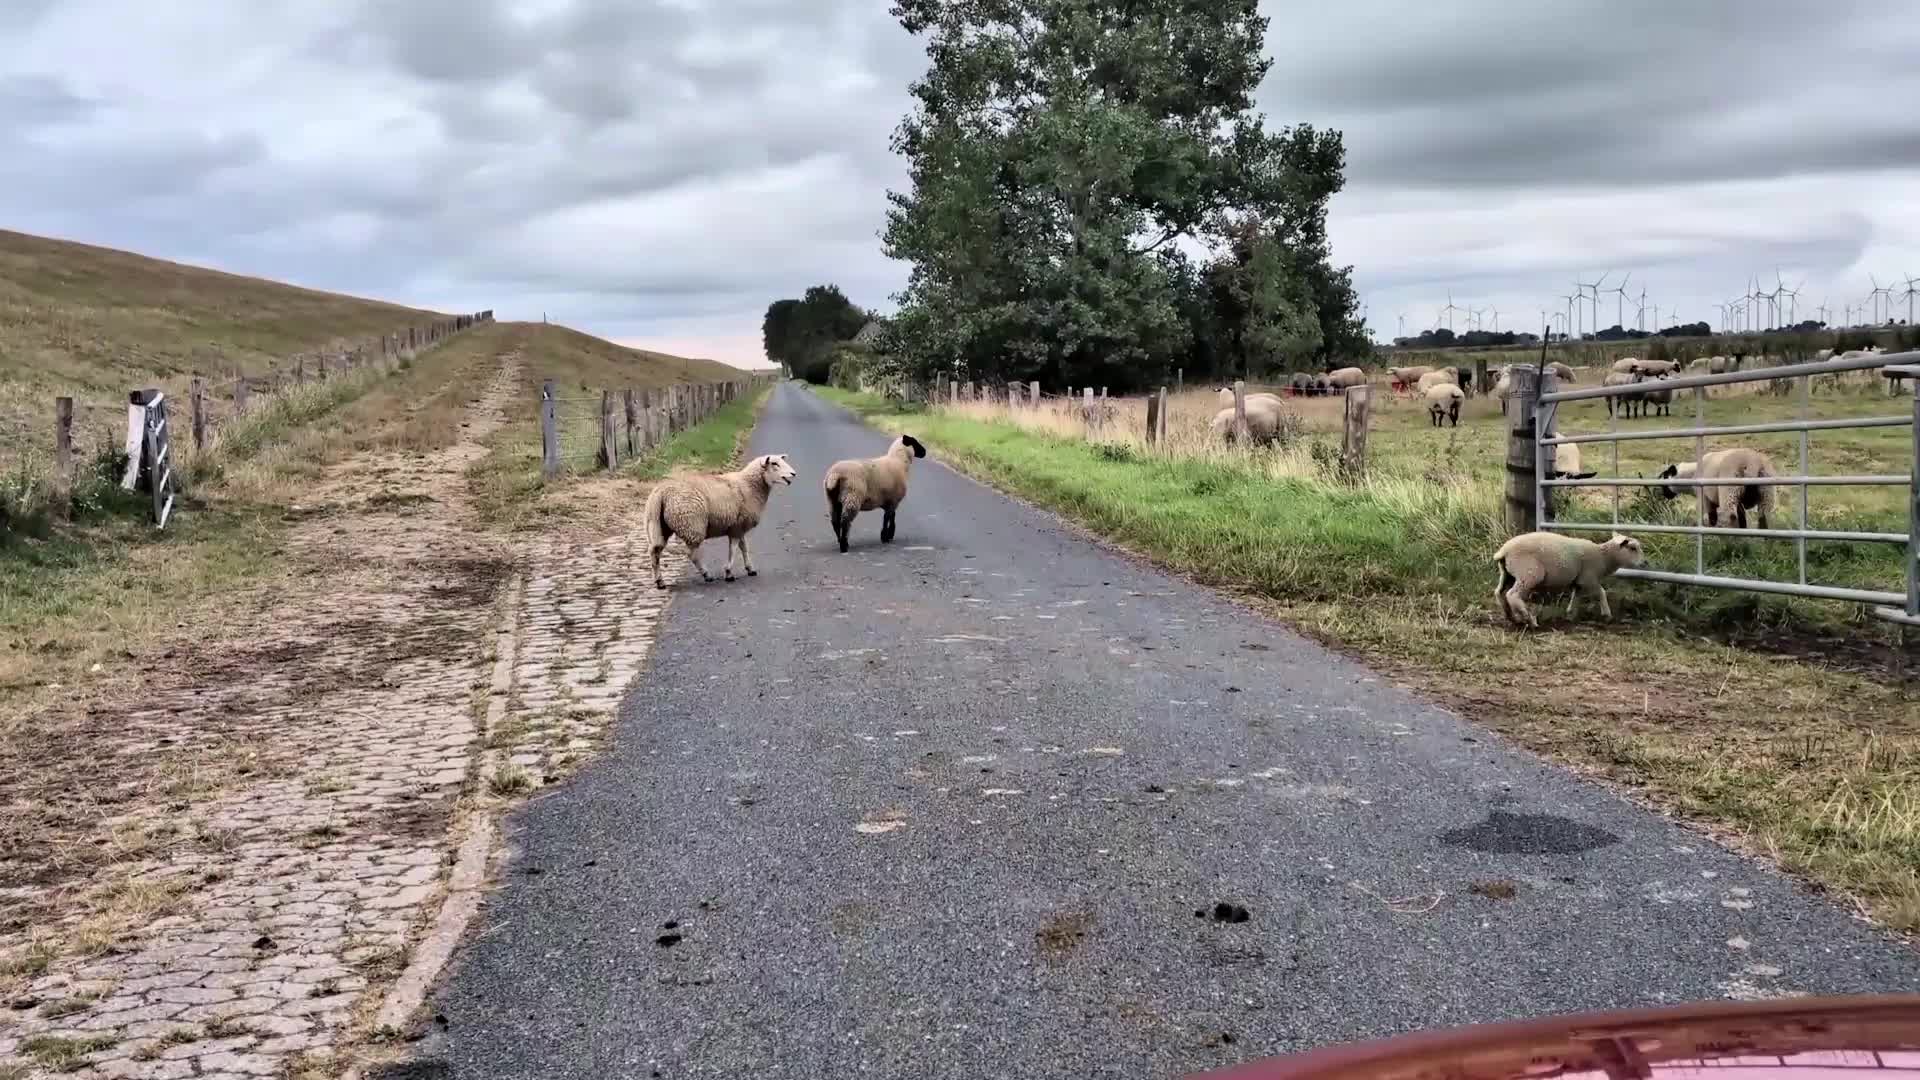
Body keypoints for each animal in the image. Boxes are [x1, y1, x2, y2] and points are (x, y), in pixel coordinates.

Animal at [644, 453, 798, 589]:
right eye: (774, 464)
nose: (794, 474)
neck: (749, 485)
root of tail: (662, 492)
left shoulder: (739, 526)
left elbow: (744, 547)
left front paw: (750, 569)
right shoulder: (736, 528)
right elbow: (733, 549)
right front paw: (729, 572)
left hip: (659, 525)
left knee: (655, 551)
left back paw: (659, 582)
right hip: (691, 524)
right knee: (692, 554)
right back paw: (706, 575)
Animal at [1492, 531, 1646, 628]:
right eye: (1632, 548)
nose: (1645, 563)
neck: (1604, 557)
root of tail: (1504, 551)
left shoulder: (1579, 581)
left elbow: (1576, 596)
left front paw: (1570, 614)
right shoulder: (1589, 578)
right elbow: (1602, 592)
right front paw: (1607, 614)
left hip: (1508, 574)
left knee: (1500, 593)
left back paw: (1511, 616)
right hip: (1528, 573)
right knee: (1512, 594)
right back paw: (1528, 618)